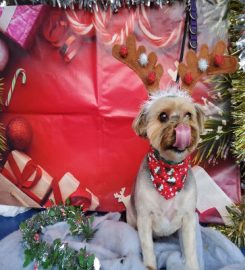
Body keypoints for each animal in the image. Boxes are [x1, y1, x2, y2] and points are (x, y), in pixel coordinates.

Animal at [126, 87, 205, 270]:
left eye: (188, 115)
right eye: (163, 116)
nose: (183, 126)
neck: (170, 172)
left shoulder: (188, 218)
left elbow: (190, 249)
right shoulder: (144, 218)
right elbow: (148, 248)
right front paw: (149, 266)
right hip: (131, 217)